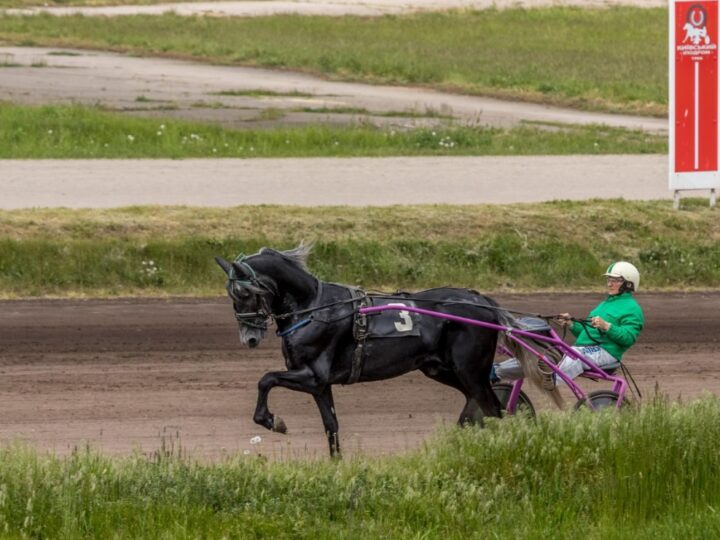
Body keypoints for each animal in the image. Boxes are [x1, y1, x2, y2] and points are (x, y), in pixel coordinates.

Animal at [214, 245, 544, 456]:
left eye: (244, 291)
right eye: (230, 294)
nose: (249, 338)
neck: (314, 307)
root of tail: (482, 301)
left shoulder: (312, 375)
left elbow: (266, 379)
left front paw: (273, 421)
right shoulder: (319, 385)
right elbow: (331, 425)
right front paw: (337, 465)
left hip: (469, 369)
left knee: (493, 410)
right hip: (441, 369)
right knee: (478, 405)